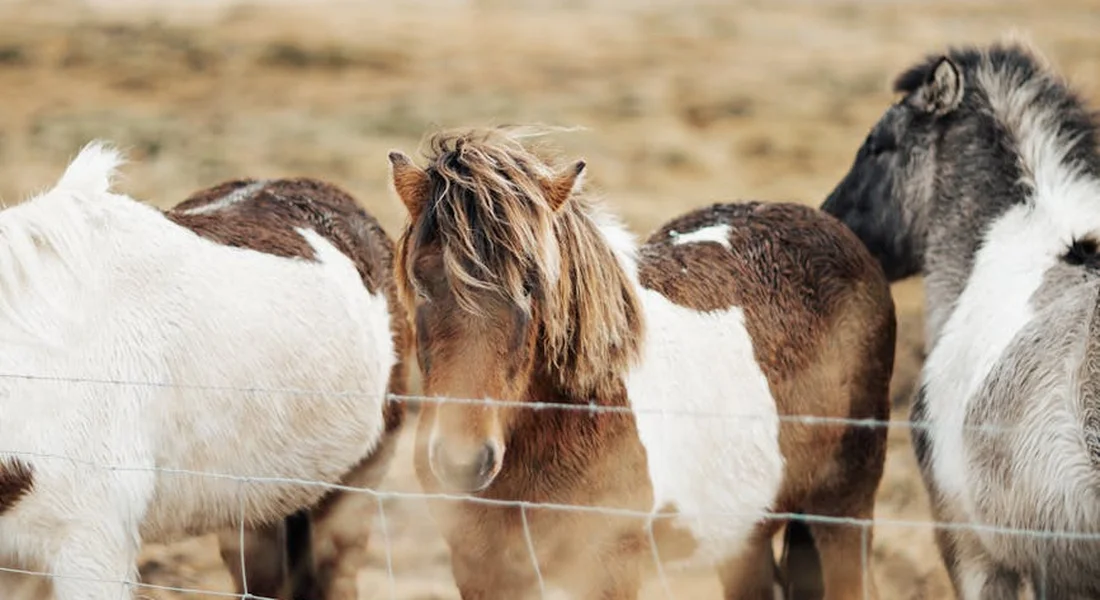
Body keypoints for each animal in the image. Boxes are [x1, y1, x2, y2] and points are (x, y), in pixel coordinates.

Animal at [386, 126, 896, 599]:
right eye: (421, 281)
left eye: (531, 286)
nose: (463, 462)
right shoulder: (483, 572)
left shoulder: (607, 570)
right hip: (740, 534)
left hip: (844, 509)